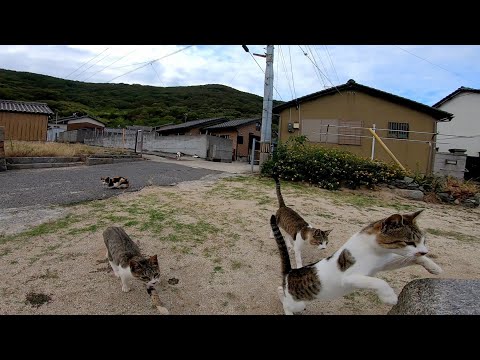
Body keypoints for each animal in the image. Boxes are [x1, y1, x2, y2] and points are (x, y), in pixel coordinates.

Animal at [270, 208, 442, 316]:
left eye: (423, 241)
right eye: (409, 242)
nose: (425, 250)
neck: (375, 251)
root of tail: (290, 272)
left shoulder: (384, 263)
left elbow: (411, 258)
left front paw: (434, 268)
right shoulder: (350, 278)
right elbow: (379, 282)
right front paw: (390, 297)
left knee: (279, 289)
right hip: (298, 302)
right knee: (285, 300)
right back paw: (288, 312)